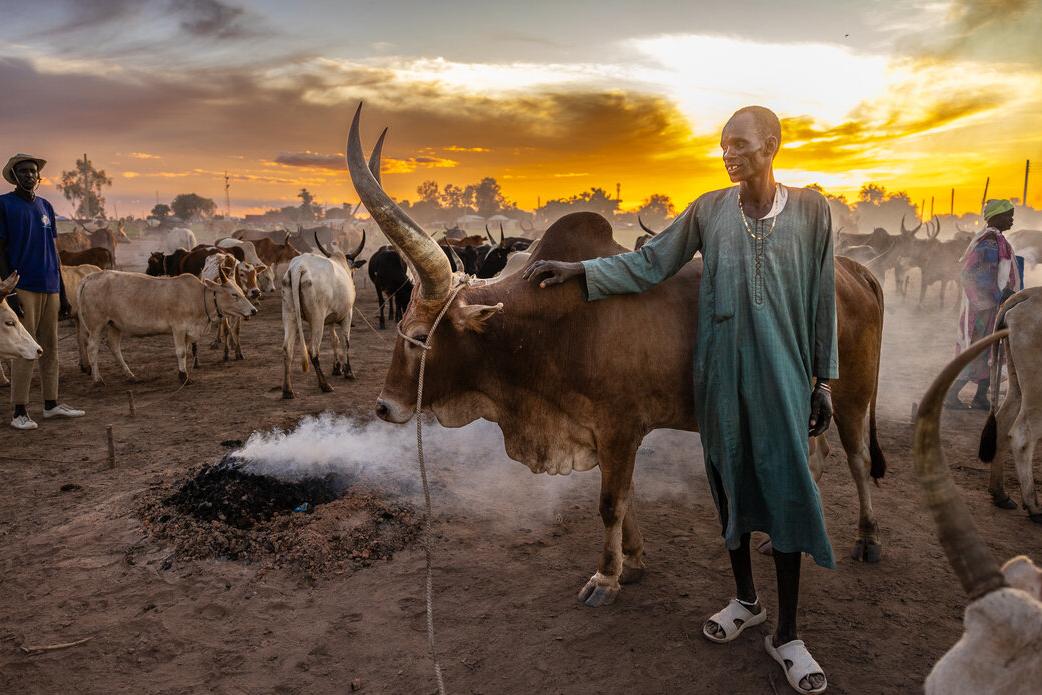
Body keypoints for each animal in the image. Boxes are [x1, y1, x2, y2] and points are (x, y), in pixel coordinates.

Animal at [77, 268, 257, 385]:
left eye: (241, 292)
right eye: (234, 295)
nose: (253, 310)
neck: (198, 297)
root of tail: (89, 278)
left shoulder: (187, 332)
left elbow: (186, 352)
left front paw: (183, 373)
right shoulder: (178, 328)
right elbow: (181, 352)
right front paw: (184, 377)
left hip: (114, 325)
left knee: (114, 346)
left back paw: (130, 376)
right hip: (97, 325)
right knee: (92, 348)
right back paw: (97, 379)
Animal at [280, 230, 367, 398]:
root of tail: (299, 266)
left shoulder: (331, 319)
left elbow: (334, 340)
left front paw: (337, 368)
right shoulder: (347, 315)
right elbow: (345, 341)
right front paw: (348, 371)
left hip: (289, 314)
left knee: (288, 349)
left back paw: (288, 390)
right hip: (317, 318)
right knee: (313, 350)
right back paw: (325, 385)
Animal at [977, 288, 1042, 521]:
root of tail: (1031, 293)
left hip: (1018, 385)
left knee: (1002, 422)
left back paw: (1000, 494)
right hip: (1037, 389)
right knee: (1023, 436)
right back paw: (1033, 506)